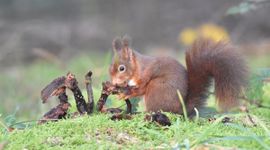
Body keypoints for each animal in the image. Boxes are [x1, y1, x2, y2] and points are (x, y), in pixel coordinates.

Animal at [108, 35, 248, 115]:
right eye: (110, 67)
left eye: (122, 68)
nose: (114, 82)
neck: (137, 68)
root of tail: (180, 109)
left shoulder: (145, 75)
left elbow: (140, 89)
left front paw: (125, 93)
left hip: (156, 88)